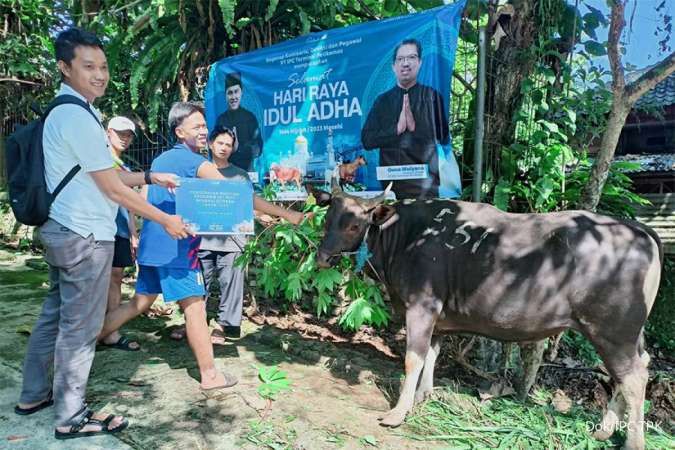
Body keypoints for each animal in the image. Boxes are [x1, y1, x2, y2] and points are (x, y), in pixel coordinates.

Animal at [314, 183, 664, 450]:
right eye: (327, 220)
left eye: (354, 225)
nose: (322, 258)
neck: (407, 236)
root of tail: (639, 229)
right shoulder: (437, 316)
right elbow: (432, 354)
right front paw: (424, 395)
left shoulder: (422, 304)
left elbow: (413, 358)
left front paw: (399, 412)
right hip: (629, 332)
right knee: (636, 367)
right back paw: (604, 430)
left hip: (613, 329)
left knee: (633, 377)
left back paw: (633, 442)